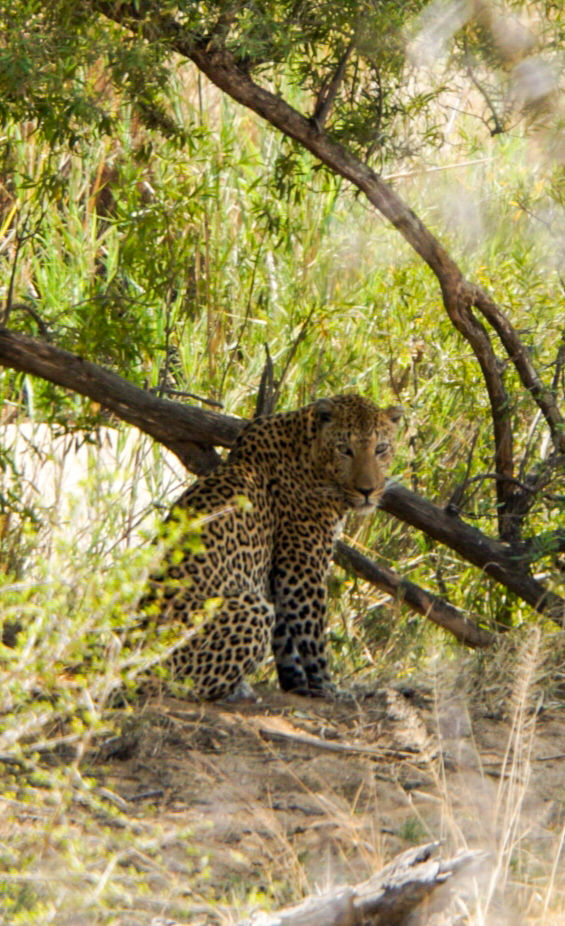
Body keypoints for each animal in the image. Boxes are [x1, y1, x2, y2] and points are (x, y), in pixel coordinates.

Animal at [134, 394, 400, 704]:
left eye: (380, 449)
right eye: (345, 450)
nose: (367, 490)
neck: (308, 450)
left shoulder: (277, 574)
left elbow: (285, 637)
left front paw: (297, 684)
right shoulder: (302, 567)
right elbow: (312, 633)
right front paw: (328, 688)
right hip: (250, 607)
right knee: (175, 685)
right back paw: (236, 691)